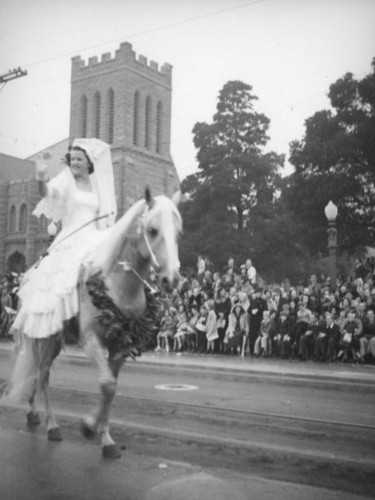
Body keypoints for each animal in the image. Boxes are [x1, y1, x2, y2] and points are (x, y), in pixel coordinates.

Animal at [5, 189, 182, 458]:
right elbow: (106, 385)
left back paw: (33, 412)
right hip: (44, 338)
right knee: (43, 375)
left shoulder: (121, 345)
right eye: (152, 230)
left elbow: (111, 390)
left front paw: (105, 438)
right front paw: (89, 427)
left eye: (178, 232)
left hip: (55, 341)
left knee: (40, 373)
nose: (171, 278)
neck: (116, 284)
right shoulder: (91, 340)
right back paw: (52, 425)